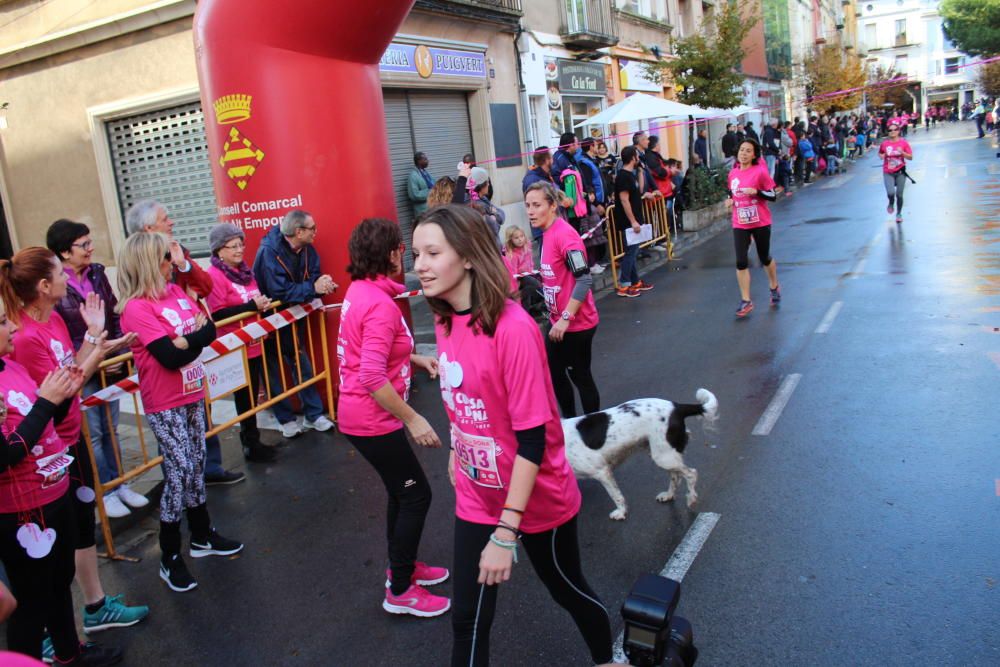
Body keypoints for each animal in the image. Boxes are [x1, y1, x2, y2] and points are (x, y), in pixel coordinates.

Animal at [564, 392, 720, 520]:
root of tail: (676, 407)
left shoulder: (602, 472)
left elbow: (616, 495)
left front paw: (621, 512)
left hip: (663, 457)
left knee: (691, 473)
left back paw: (691, 499)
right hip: (661, 453)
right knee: (675, 476)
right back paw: (668, 495)